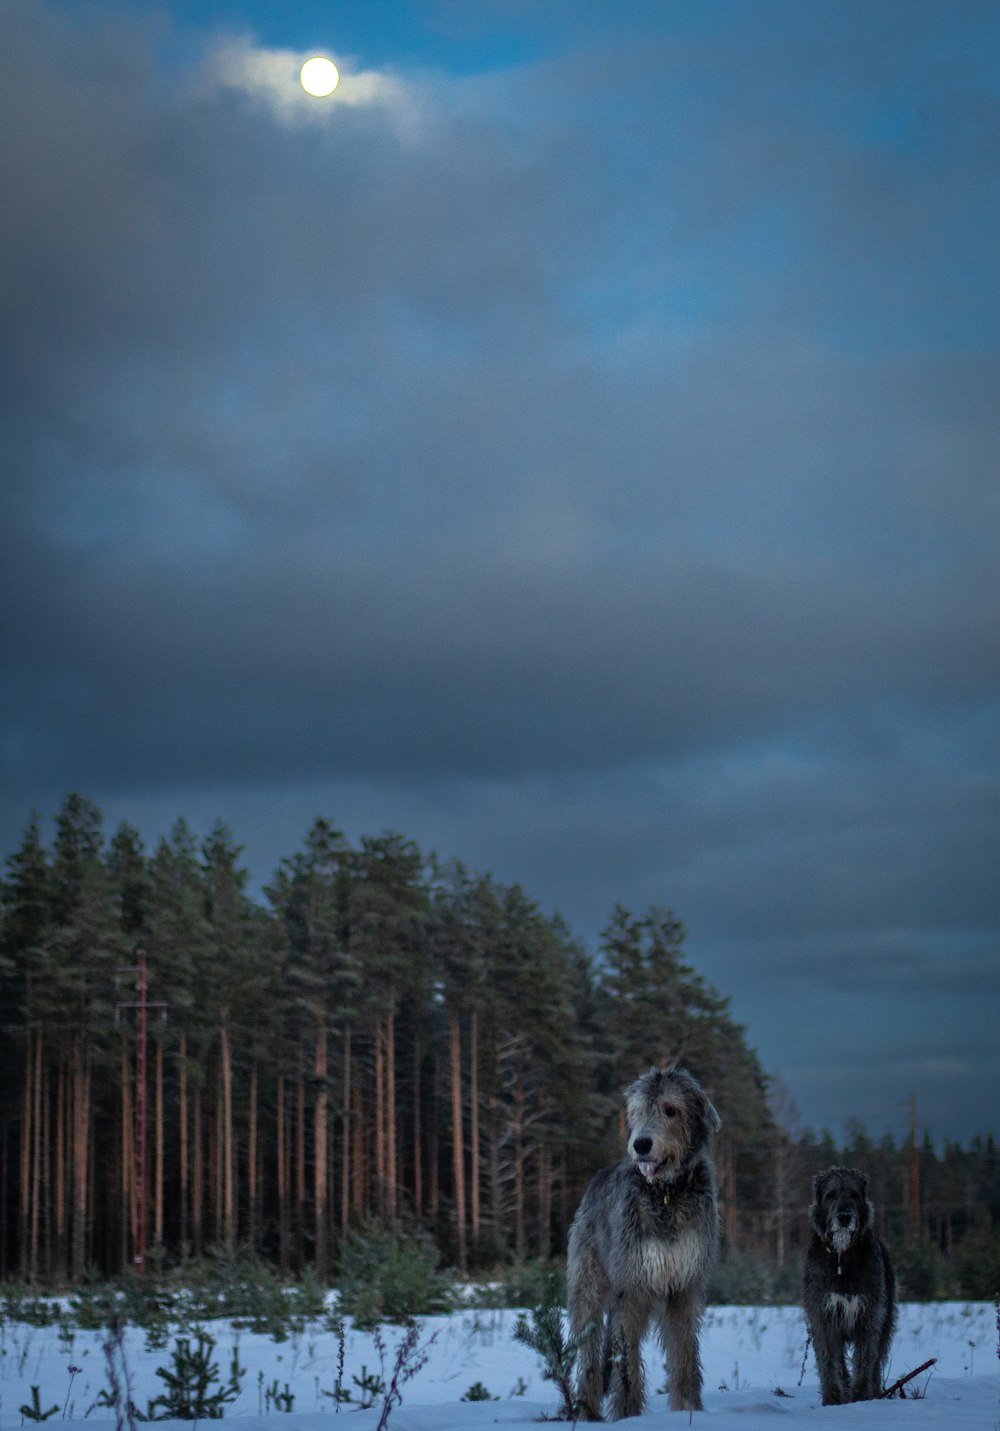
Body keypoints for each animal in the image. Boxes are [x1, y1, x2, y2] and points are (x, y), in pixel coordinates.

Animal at [566, 1064, 723, 1419]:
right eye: (637, 1112)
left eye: (670, 1109)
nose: (640, 1145)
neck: (666, 1193)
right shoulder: (633, 1281)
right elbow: (626, 1358)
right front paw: (627, 1415)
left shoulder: (685, 1283)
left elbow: (684, 1351)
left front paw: (688, 1408)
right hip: (588, 1281)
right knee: (589, 1351)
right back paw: (587, 1410)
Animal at [806, 1167, 898, 1402]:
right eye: (831, 1195)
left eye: (854, 1194)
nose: (844, 1217)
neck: (842, 1255)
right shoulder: (823, 1315)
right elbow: (829, 1359)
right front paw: (832, 1398)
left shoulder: (870, 1314)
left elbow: (865, 1357)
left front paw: (861, 1396)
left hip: (886, 1318)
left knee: (876, 1360)